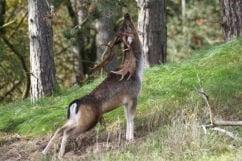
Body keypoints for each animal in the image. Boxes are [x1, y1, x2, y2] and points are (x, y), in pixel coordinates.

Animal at [41, 13, 144, 159]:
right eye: (127, 27)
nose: (126, 14)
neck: (137, 72)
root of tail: (75, 104)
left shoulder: (125, 102)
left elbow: (126, 118)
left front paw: (127, 137)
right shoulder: (133, 96)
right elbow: (131, 118)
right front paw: (131, 138)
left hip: (74, 119)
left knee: (60, 129)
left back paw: (44, 152)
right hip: (88, 121)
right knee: (66, 132)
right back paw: (61, 155)